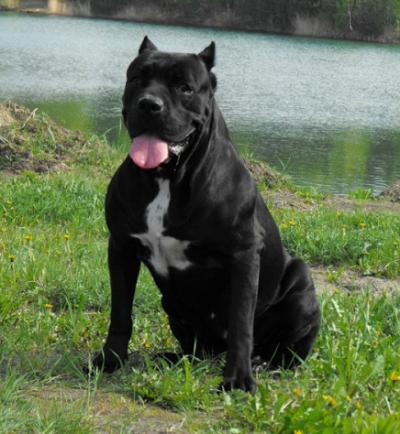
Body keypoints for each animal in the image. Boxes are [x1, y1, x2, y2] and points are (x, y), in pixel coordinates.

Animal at [93, 36, 321, 393]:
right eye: (138, 79)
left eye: (185, 88)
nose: (149, 104)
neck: (167, 178)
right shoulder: (121, 247)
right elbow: (120, 310)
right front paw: (111, 359)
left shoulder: (243, 255)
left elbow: (241, 323)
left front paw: (238, 380)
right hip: (172, 305)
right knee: (196, 350)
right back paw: (171, 358)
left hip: (302, 287)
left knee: (285, 353)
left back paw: (261, 363)